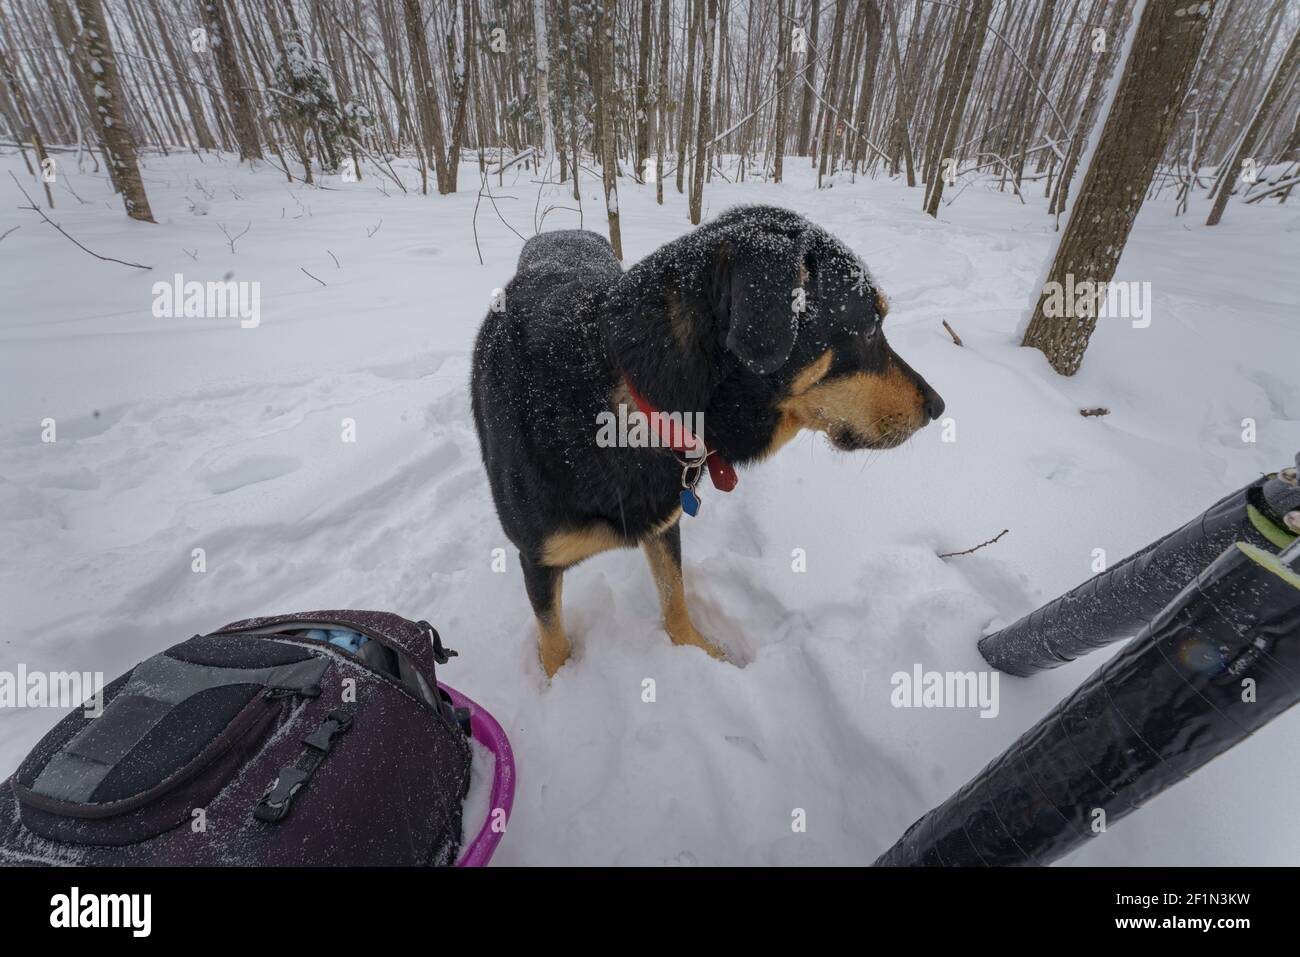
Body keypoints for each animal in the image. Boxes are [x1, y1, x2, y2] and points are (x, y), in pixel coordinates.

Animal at [473, 205, 941, 676]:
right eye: (871, 328)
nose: (937, 407)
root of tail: (563, 232)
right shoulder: (537, 560)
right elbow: (554, 642)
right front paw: (559, 683)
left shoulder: (664, 524)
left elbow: (674, 599)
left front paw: (697, 650)